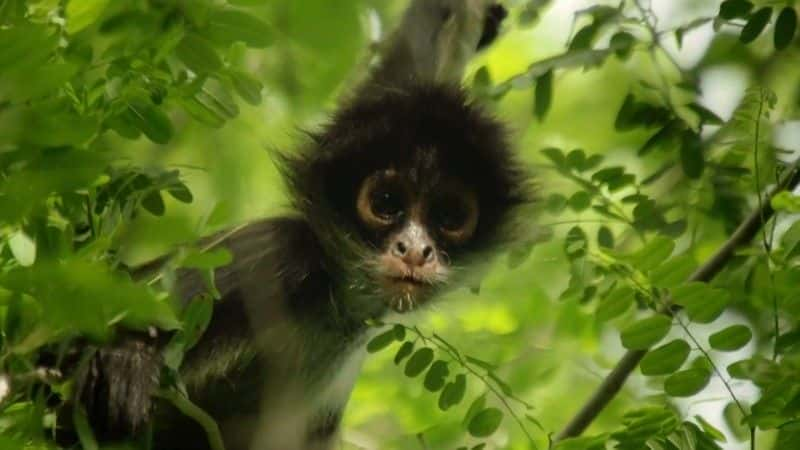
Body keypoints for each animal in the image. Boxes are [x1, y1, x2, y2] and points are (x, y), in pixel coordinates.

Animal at [72, 0, 528, 450]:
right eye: (385, 203)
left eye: (449, 217)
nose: (415, 251)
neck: (337, 299)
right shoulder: (278, 256)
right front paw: (125, 362)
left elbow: (404, 65)